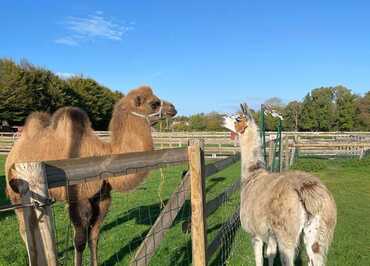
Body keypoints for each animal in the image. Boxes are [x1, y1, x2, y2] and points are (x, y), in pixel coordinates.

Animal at [5, 86, 177, 264]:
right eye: (154, 103)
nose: (173, 108)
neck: (102, 156)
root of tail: (14, 150)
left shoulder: (102, 198)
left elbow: (94, 237)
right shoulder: (79, 198)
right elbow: (80, 241)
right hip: (16, 193)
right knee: (24, 229)